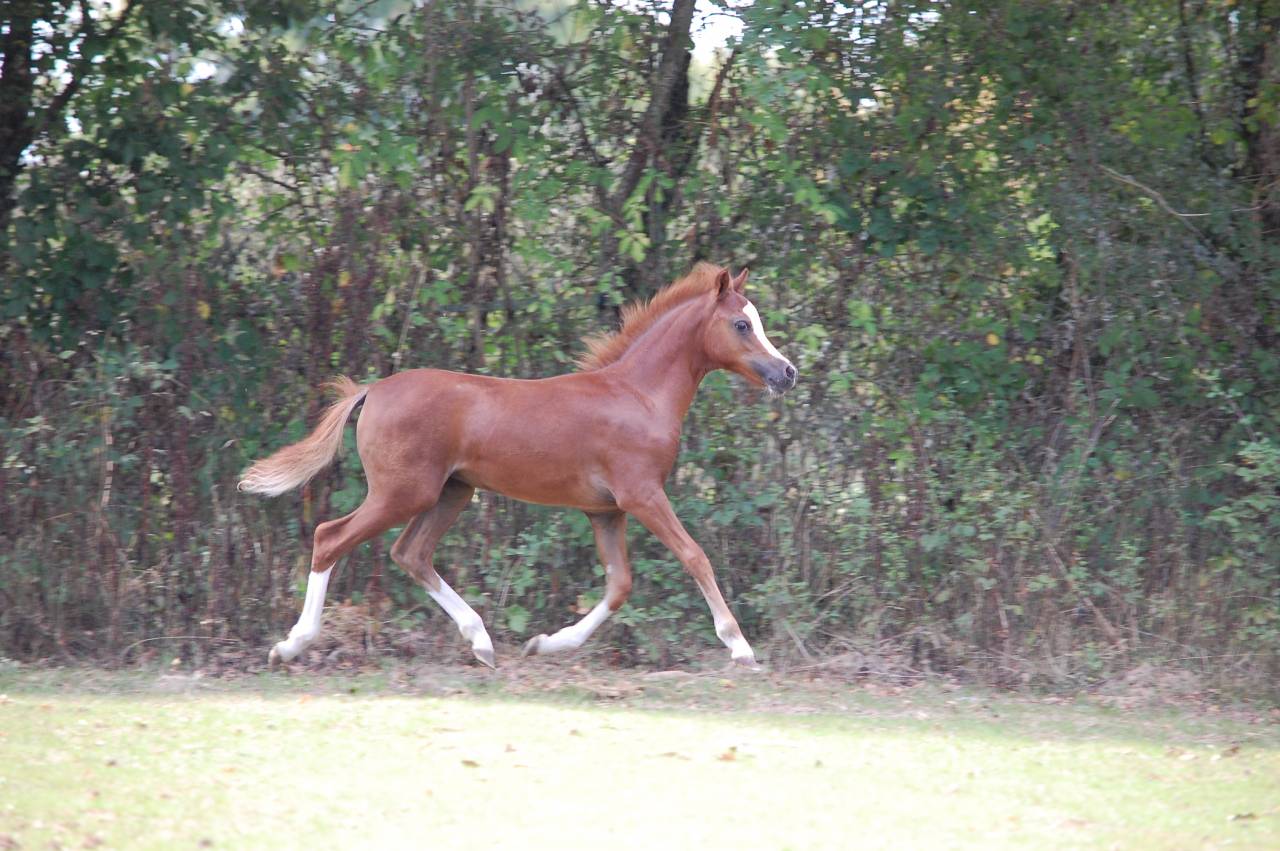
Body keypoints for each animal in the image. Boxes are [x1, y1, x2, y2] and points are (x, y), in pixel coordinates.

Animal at [239, 262, 797, 669]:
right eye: (742, 324)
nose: (787, 372)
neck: (638, 394)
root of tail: (372, 389)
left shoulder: (605, 510)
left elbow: (619, 585)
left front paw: (546, 643)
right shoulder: (642, 495)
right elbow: (695, 556)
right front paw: (740, 646)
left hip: (451, 492)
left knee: (410, 553)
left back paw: (481, 642)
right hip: (403, 492)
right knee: (330, 538)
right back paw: (291, 645)